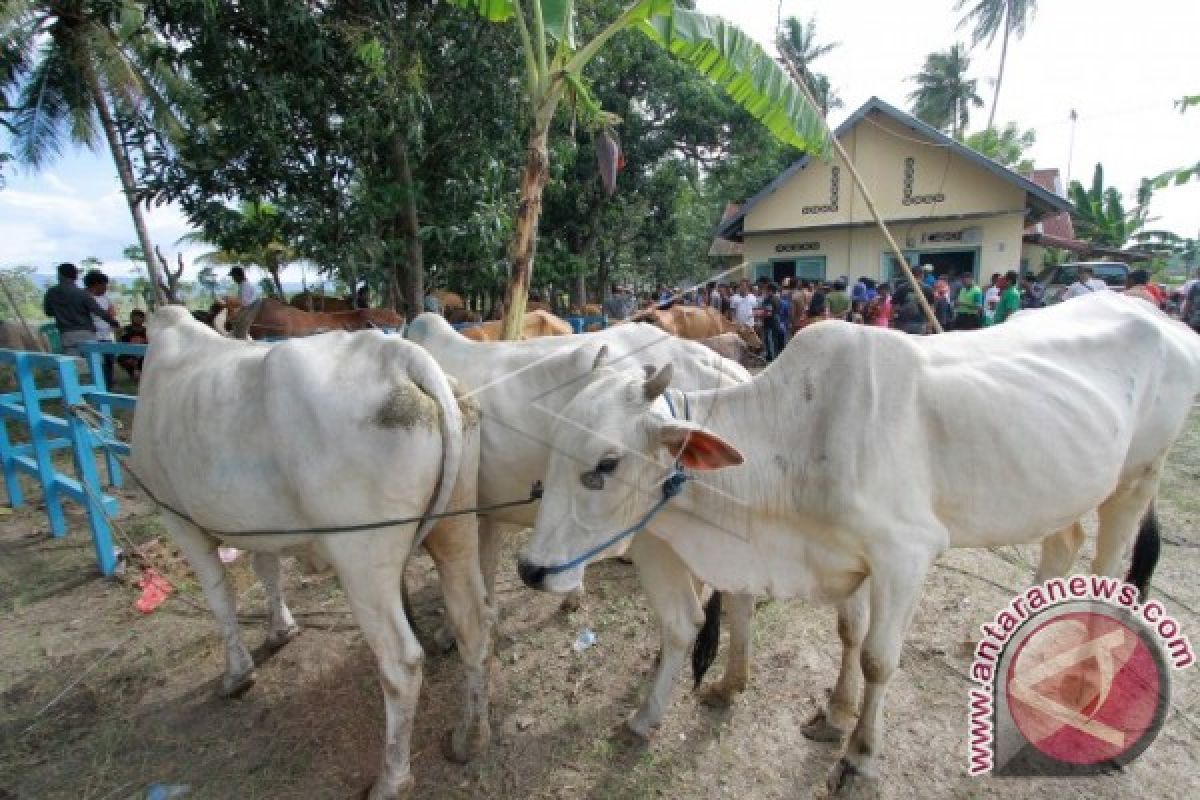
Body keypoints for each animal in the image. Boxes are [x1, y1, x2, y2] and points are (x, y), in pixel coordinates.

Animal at [136, 309, 496, 800]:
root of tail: (400, 355)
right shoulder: (261, 528)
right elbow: (266, 570)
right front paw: (281, 630)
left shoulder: (177, 517)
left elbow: (220, 598)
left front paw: (237, 675)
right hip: (456, 530)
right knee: (472, 625)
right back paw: (469, 738)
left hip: (362, 560)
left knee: (401, 663)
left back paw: (392, 778)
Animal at [408, 311, 753, 734]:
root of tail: (722, 367)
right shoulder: (485, 510)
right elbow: (485, 567)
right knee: (739, 596)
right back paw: (729, 682)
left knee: (689, 614)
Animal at [518, 292, 1200, 796]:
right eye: (551, 450)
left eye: (605, 464)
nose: (530, 569)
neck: (796, 438)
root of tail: (1161, 318)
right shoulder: (846, 555)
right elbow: (849, 633)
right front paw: (836, 714)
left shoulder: (904, 555)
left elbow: (878, 658)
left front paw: (860, 756)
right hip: (1055, 488)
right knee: (1064, 542)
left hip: (1136, 479)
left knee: (1108, 566)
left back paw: (1084, 677)